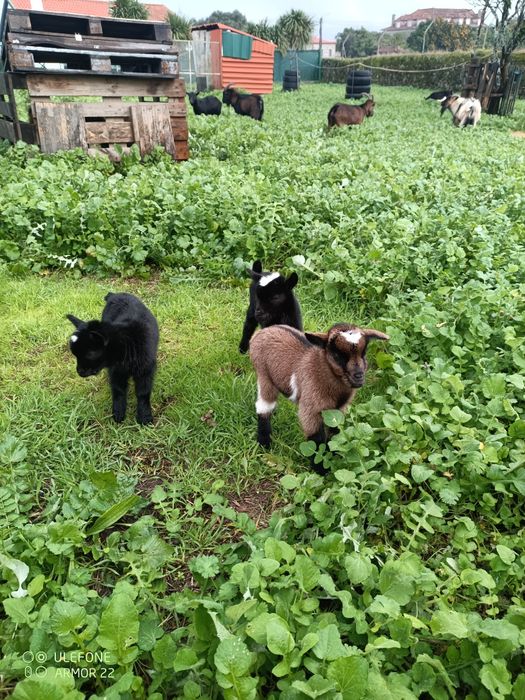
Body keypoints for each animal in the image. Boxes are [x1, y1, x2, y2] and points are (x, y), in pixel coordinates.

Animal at [67, 292, 159, 425]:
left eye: (90, 354)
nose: (79, 372)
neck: (128, 343)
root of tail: (115, 294)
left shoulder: (145, 370)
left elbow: (143, 392)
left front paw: (144, 416)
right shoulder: (116, 371)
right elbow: (118, 390)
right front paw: (118, 413)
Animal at [250, 323, 389, 470]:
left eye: (364, 353)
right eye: (337, 355)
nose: (359, 376)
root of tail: (265, 330)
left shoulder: (338, 409)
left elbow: (335, 430)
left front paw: (337, 455)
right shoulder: (310, 407)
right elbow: (316, 440)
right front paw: (320, 470)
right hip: (264, 375)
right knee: (264, 406)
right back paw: (264, 443)